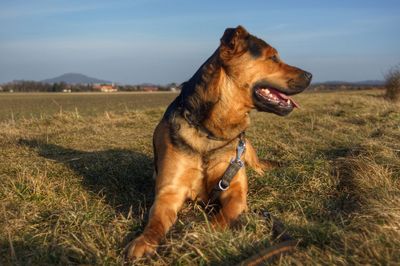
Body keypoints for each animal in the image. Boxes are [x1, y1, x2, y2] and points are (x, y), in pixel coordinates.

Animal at [125, 25, 312, 260]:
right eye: (273, 57)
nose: (310, 75)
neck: (210, 132)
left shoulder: (235, 191)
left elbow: (223, 216)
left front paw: (201, 232)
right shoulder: (169, 192)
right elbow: (156, 221)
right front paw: (144, 241)